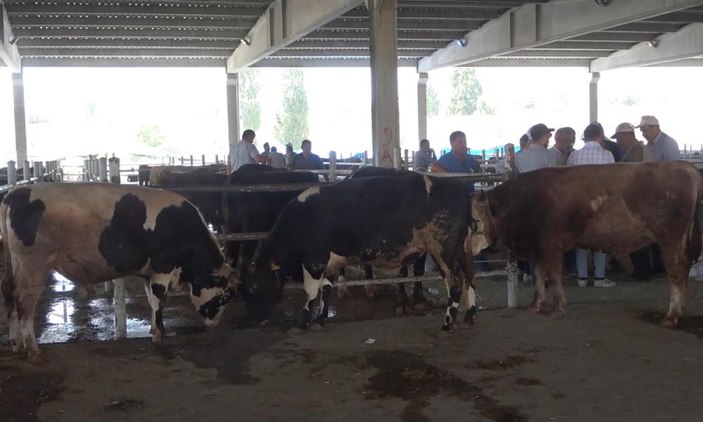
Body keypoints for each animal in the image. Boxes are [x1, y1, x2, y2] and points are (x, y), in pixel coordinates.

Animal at [1, 183, 241, 362]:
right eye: (226, 296)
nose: (214, 325)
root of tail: (16, 192)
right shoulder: (162, 269)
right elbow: (159, 301)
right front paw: (160, 336)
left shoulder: (149, 274)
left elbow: (153, 302)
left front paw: (157, 331)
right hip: (33, 267)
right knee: (24, 303)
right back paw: (32, 349)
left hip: (16, 266)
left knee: (9, 294)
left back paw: (15, 343)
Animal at [243, 170, 478, 332]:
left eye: (254, 286)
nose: (253, 320)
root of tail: (457, 186)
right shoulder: (330, 264)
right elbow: (326, 289)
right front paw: (321, 319)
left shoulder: (314, 261)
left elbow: (310, 292)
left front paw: (304, 322)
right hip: (458, 250)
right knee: (469, 278)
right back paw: (469, 315)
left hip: (443, 250)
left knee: (455, 284)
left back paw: (448, 324)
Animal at [468, 162, 703, 326]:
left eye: (476, 220)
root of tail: (686, 167)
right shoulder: (538, 248)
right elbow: (538, 274)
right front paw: (535, 305)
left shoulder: (550, 245)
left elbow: (553, 275)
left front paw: (558, 308)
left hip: (671, 239)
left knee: (676, 272)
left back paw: (671, 316)